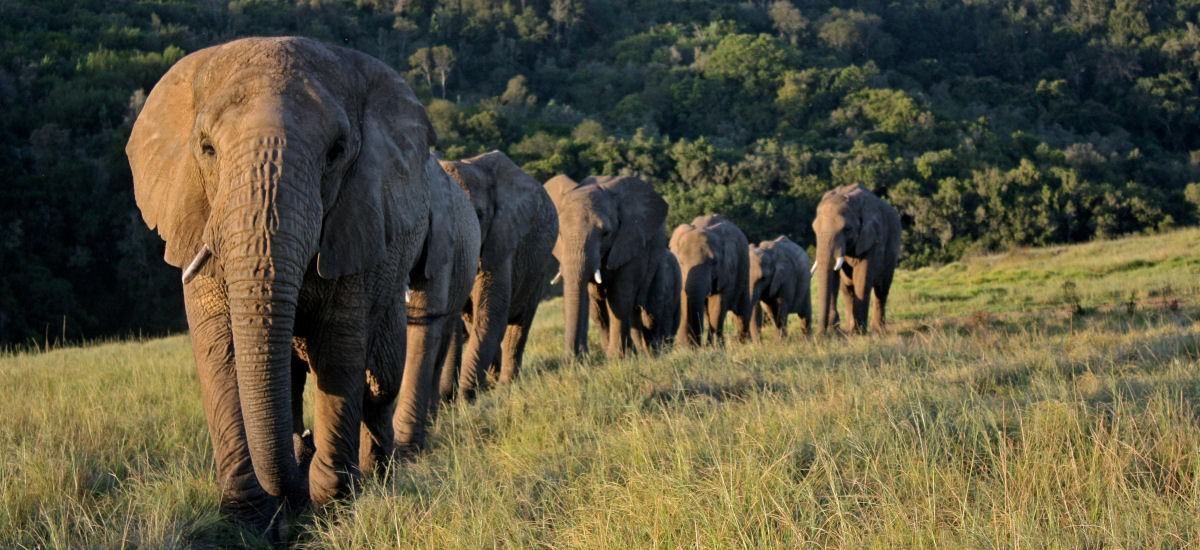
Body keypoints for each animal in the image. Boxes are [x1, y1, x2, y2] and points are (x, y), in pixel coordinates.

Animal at [126, 37, 452, 535]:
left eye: (337, 151)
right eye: (206, 148)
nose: (303, 447)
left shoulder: (356, 215)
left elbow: (339, 347)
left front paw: (331, 504)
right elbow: (221, 350)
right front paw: (249, 520)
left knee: (378, 379)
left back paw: (376, 471)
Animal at [436, 151, 557, 400]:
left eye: (479, 215)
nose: (447, 398)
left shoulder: (500, 241)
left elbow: (490, 313)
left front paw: (465, 398)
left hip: (538, 267)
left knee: (519, 324)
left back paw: (505, 385)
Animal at [543, 174, 671, 359]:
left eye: (606, 233)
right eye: (559, 233)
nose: (573, 357)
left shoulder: (630, 243)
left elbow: (619, 298)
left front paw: (616, 358)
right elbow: (595, 307)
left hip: (657, 260)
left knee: (647, 311)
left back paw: (651, 353)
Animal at [670, 214, 752, 347]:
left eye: (713, 262)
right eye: (681, 263)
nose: (698, 344)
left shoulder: (727, 269)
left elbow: (718, 302)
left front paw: (713, 348)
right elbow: (684, 299)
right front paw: (686, 348)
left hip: (744, 270)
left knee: (742, 311)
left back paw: (743, 344)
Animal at [811, 184, 902, 335]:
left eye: (847, 229)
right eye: (814, 229)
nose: (820, 335)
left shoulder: (872, 239)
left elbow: (862, 278)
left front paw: (859, 333)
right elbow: (834, 277)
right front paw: (836, 329)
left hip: (892, 251)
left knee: (882, 290)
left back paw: (877, 330)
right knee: (847, 290)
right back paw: (851, 328)